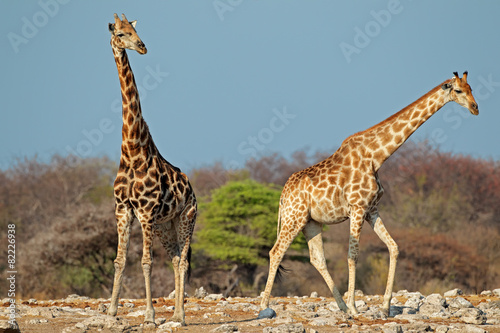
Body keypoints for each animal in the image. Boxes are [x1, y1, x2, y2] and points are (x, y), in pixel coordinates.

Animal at [107, 13, 197, 324]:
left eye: (135, 30)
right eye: (120, 33)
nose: (142, 46)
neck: (133, 151)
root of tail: (194, 192)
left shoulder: (144, 212)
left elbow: (146, 262)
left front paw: (149, 315)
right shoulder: (123, 210)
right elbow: (120, 260)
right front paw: (111, 310)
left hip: (185, 219)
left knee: (183, 262)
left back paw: (180, 315)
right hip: (163, 227)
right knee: (175, 259)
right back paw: (177, 312)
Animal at [260, 70, 478, 316]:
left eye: (471, 88)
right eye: (458, 90)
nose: (475, 107)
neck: (377, 157)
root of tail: (282, 196)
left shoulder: (372, 209)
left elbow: (394, 247)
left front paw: (384, 306)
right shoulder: (357, 208)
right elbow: (353, 255)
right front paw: (356, 308)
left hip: (310, 222)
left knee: (317, 259)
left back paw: (341, 306)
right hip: (293, 218)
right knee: (276, 251)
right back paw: (265, 305)